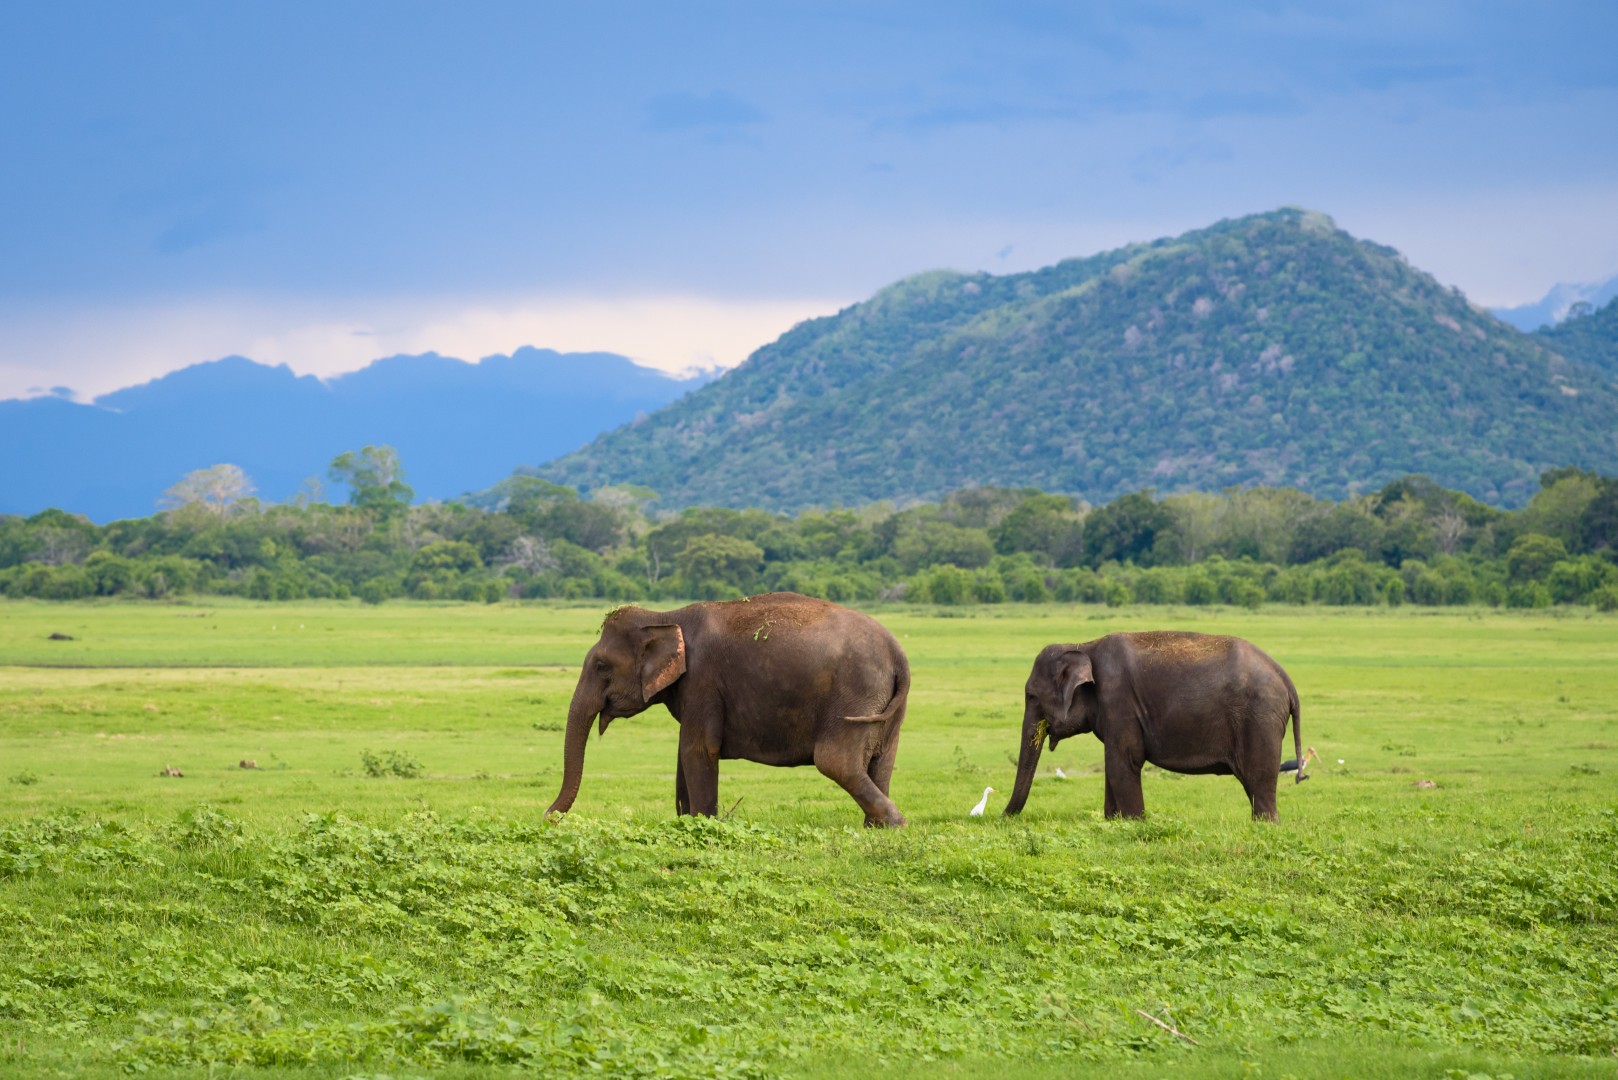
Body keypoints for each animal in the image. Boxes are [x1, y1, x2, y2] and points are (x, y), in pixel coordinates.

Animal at [545, 592, 910, 827]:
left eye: (601, 666)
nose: (549, 818)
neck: (665, 617)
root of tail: (898, 654)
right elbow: (684, 753)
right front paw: (685, 822)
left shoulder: (702, 681)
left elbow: (698, 749)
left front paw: (703, 823)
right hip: (886, 705)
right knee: (882, 761)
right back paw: (875, 829)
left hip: (854, 694)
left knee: (836, 761)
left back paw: (895, 823)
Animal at [1003, 631, 1302, 821]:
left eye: (1031, 696)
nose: (1001, 818)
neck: (1084, 645)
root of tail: (1286, 679)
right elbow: (1114, 765)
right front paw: (1113, 821)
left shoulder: (1119, 701)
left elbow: (1123, 761)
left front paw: (1134, 822)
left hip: (1259, 720)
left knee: (1259, 781)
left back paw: (1265, 824)